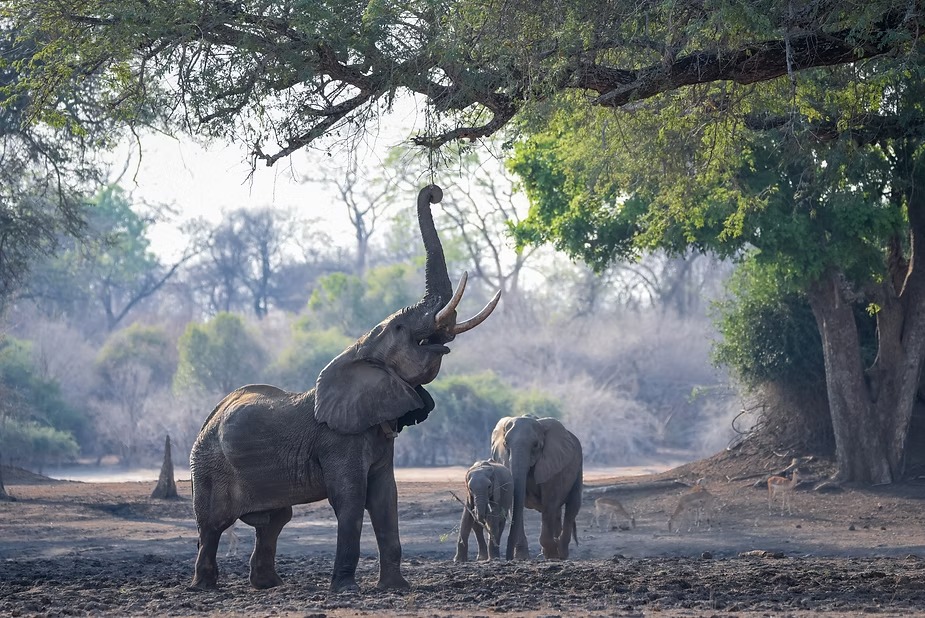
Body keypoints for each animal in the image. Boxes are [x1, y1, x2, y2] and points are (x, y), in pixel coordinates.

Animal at [188, 185, 500, 593]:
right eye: (399, 328)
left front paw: (397, 587)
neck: (357, 352)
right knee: (212, 524)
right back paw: (204, 587)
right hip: (208, 466)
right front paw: (347, 589)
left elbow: (385, 499)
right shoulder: (338, 440)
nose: (435, 192)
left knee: (275, 520)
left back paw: (268, 585)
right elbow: (351, 501)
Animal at [490, 415, 583, 560]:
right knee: (558, 512)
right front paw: (522, 557)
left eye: (535, 445)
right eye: (505, 444)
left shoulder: (553, 465)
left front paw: (551, 555)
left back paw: (561, 554)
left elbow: (549, 504)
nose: (508, 558)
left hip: (578, 467)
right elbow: (515, 504)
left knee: (572, 506)